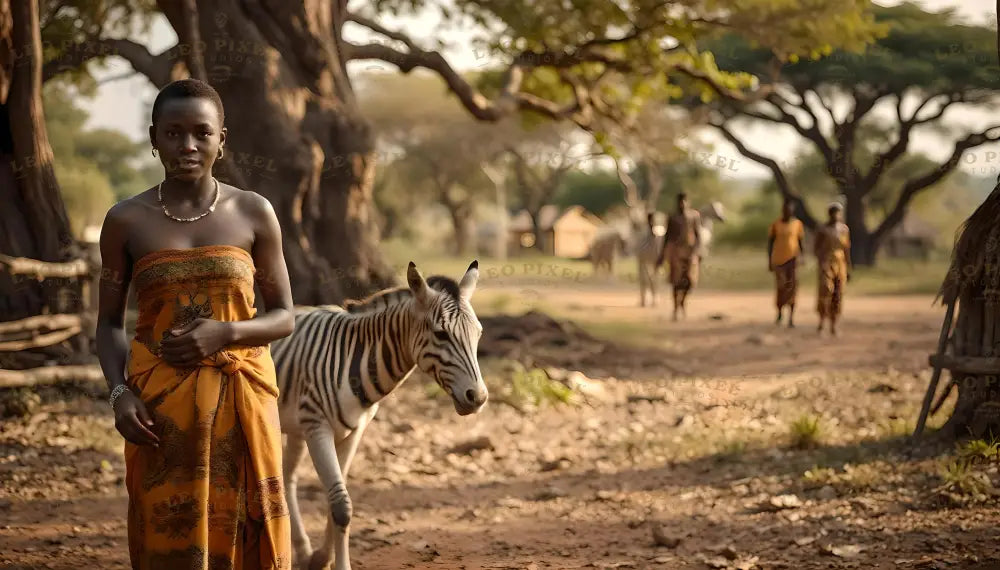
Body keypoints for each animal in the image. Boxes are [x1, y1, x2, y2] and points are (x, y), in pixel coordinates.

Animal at [270, 260, 488, 564]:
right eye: (441, 334)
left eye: (478, 333)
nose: (478, 397)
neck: (356, 356)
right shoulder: (318, 427)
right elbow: (341, 506)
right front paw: (338, 564)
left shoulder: (353, 431)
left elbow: (334, 501)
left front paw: (321, 558)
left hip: (295, 426)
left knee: (287, 475)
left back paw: (302, 551)